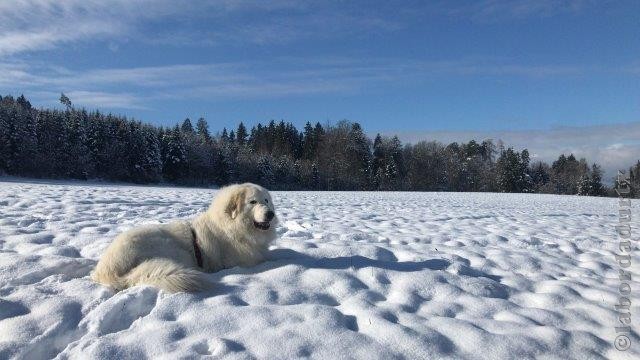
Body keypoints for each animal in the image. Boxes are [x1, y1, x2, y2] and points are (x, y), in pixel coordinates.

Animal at [90, 183, 278, 292]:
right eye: (253, 202)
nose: (271, 214)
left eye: (266, 200)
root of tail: (106, 271)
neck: (230, 226)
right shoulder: (244, 260)